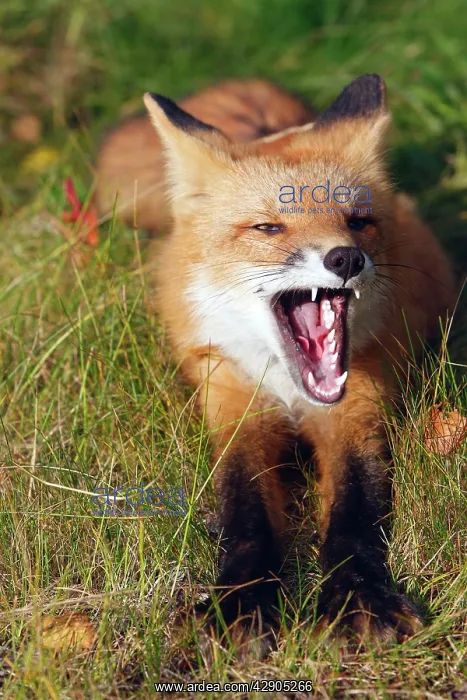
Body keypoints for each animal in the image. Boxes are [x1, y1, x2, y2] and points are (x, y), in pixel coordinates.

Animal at [96, 74, 454, 652]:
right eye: (268, 228)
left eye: (358, 222)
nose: (345, 258)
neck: (292, 394)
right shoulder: (232, 403)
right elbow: (244, 513)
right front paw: (241, 604)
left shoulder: (358, 406)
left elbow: (357, 509)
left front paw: (360, 600)